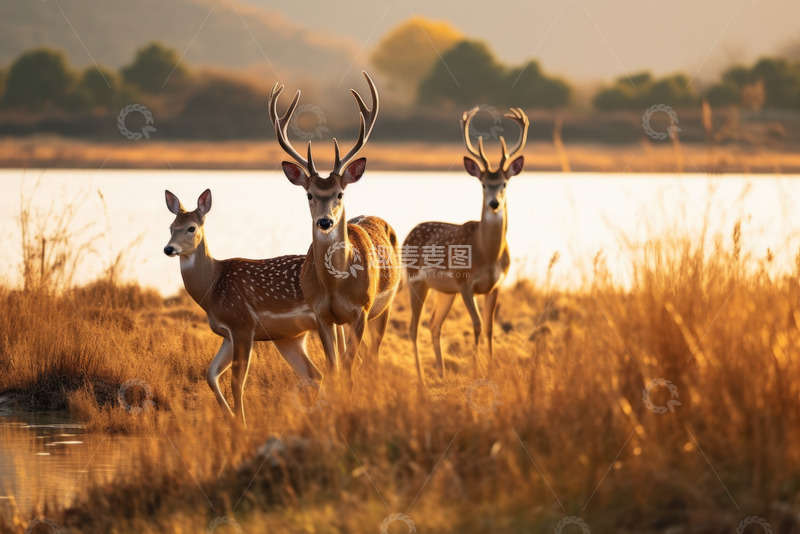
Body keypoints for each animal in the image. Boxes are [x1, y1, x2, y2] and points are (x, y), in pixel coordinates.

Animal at [163, 188, 324, 428]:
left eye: (191, 227)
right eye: (171, 227)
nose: (169, 248)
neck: (213, 286)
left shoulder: (243, 324)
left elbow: (237, 382)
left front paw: (242, 425)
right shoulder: (227, 333)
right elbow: (210, 374)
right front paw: (232, 419)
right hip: (290, 337)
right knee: (315, 375)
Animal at [268, 71, 401, 385]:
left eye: (340, 193)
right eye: (309, 194)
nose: (325, 221)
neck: (335, 286)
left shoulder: (361, 310)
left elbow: (350, 369)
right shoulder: (321, 314)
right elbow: (333, 368)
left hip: (386, 306)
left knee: (372, 357)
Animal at [404, 107, 529, 383]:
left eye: (504, 183)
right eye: (483, 183)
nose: (494, 203)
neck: (487, 254)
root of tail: (408, 234)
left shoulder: (496, 285)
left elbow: (491, 327)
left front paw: (491, 369)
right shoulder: (464, 282)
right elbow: (478, 324)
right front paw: (474, 371)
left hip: (444, 291)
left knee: (434, 324)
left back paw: (441, 373)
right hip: (416, 281)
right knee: (413, 327)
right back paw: (421, 379)